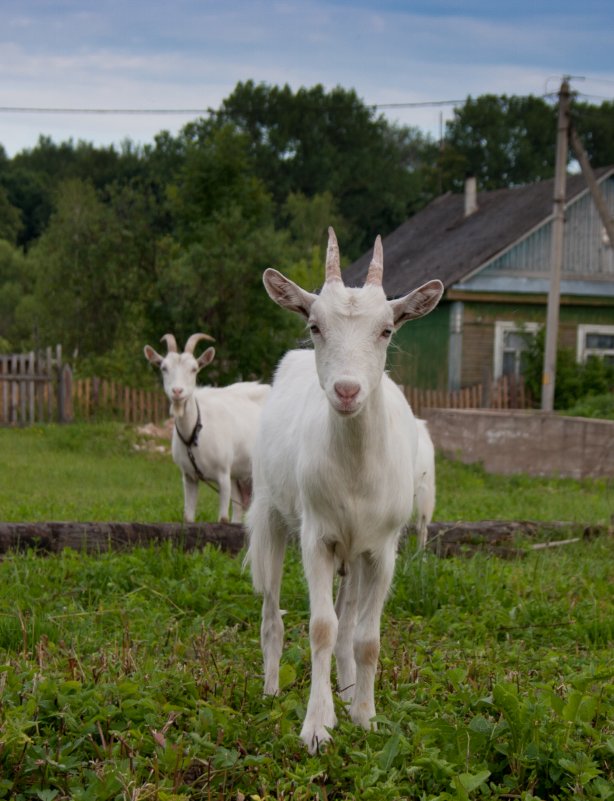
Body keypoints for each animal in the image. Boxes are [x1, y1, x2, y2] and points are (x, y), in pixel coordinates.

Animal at [146, 332, 270, 524]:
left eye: (194, 369)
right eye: (164, 368)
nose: (177, 391)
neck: (195, 432)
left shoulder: (223, 475)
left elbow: (223, 519)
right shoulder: (189, 477)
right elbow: (188, 518)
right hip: (238, 474)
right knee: (238, 510)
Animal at [245, 227, 442, 752]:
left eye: (387, 330)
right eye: (315, 325)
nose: (347, 391)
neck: (355, 470)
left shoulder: (382, 549)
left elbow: (366, 638)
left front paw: (364, 716)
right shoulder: (318, 537)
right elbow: (321, 628)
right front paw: (317, 725)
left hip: (355, 554)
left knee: (351, 620)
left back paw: (349, 687)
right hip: (271, 513)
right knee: (272, 610)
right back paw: (271, 689)